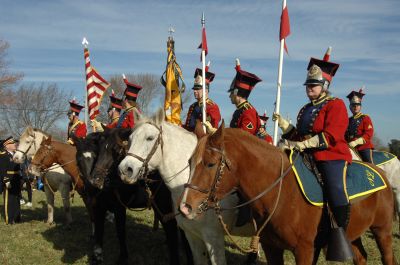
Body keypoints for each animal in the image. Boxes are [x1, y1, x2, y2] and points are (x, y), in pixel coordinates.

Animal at [78, 126, 194, 264]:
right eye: (99, 150)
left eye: (116, 150)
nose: (95, 181)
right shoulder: (98, 208)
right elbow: (99, 232)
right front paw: (97, 257)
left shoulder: (120, 208)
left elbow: (120, 231)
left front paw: (123, 257)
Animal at [180, 122, 396, 264]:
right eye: (189, 162)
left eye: (210, 164)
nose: (185, 207)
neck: (280, 193)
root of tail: (380, 173)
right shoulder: (272, 248)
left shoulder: (304, 250)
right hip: (354, 233)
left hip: (382, 231)